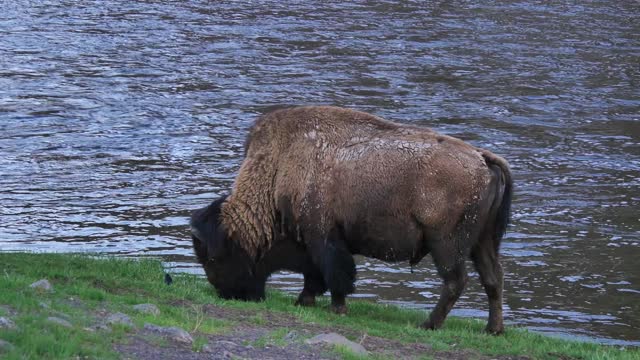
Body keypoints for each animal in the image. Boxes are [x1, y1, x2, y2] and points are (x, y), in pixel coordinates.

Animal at [191, 106, 516, 334]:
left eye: (214, 258)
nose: (228, 294)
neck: (278, 170)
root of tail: (482, 159)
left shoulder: (323, 237)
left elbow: (335, 274)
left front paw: (336, 308)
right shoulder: (314, 241)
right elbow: (315, 275)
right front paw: (304, 300)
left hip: (446, 244)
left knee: (455, 281)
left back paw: (428, 324)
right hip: (483, 241)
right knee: (493, 278)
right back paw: (493, 330)